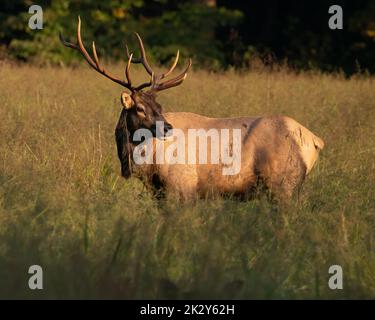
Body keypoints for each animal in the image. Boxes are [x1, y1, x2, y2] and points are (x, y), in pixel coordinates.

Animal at [60, 17, 324, 200]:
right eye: (141, 108)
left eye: (159, 106)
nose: (167, 127)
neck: (148, 165)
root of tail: (314, 140)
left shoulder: (182, 185)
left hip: (283, 183)